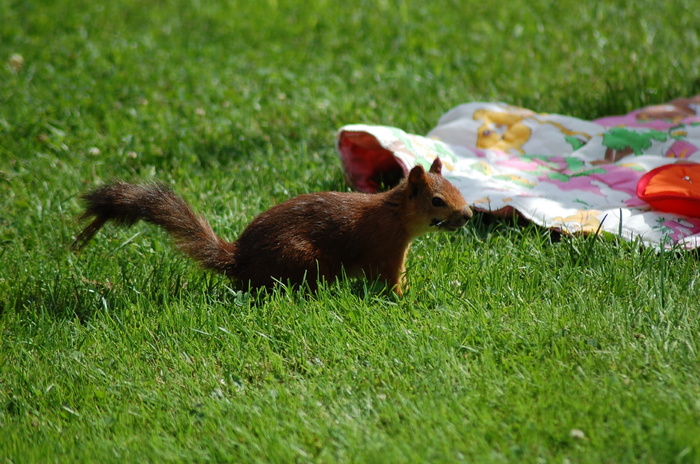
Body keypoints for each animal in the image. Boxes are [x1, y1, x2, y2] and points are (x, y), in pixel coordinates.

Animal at [71, 158, 470, 296]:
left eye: (458, 187)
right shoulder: (386, 249)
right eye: (437, 200)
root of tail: (241, 261)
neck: (394, 214)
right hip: (305, 259)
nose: (467, 215)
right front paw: (408, 297)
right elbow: (391, 281)